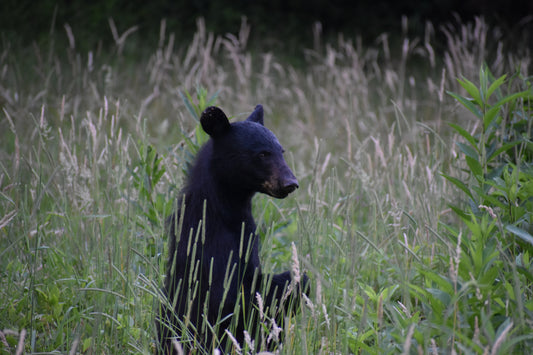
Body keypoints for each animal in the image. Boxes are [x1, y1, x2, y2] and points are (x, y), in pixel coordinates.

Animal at [158, 104, 306, 354]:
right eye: (262, 154)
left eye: (281, 151)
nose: (290, 183)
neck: (226, 210)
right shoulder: (215, 247)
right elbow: (228, 299)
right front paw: (293, 281)